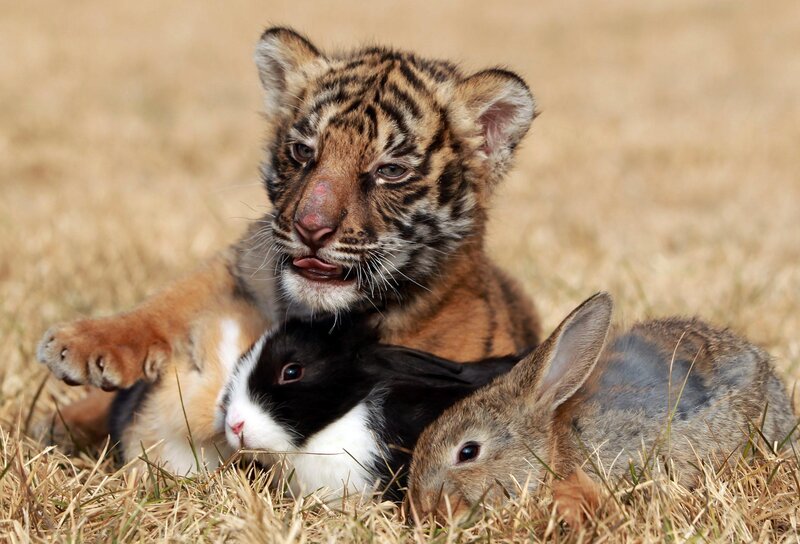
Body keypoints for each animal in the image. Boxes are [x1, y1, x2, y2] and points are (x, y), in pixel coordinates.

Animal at [36, 27, 542, 445]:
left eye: (390, 171)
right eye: (303, 152)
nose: (311, 228)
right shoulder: (241, 266)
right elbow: (173, 300)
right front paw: (82, 342)